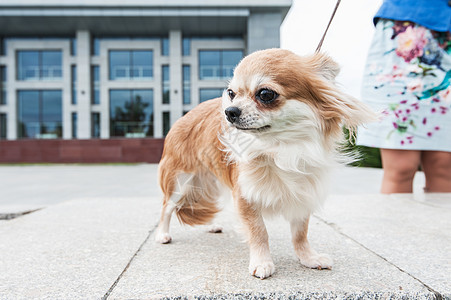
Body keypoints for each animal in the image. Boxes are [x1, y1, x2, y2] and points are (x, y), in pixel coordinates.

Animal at [154, 48, 376, 278]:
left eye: (265, 94)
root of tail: (182, 118)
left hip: (211, 181)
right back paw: (162, 234)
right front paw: (262, 262)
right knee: (167, 207)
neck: (280, 148)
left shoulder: (302, 192)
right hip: (180, 182)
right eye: (231, 93)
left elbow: (300, 232)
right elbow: (259, 231)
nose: (229, 111)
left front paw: (308, 257)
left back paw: (212, 225)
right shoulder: (245, 193)